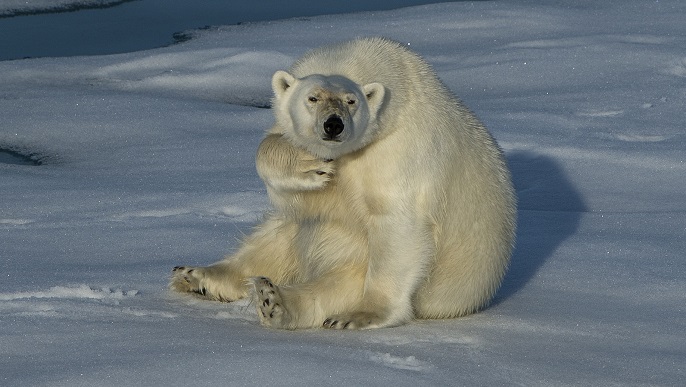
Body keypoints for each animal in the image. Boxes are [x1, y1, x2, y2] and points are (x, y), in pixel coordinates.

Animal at [171, 37, 516, 330]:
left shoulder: (396, 153)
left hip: (363, 264)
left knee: (335, 285)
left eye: (352, 101)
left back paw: (277, 301)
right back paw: (196, 276)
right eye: (312, 97)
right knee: (276, 236)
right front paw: (310, 166)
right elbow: (283, 175)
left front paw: (363, 314)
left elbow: (397, 222)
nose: (333, 125)